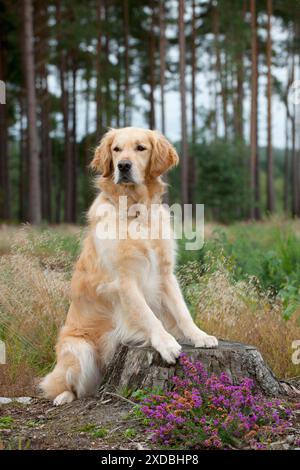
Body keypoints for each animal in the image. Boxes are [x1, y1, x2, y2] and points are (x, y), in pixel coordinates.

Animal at [40, 127, 218, 404]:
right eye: (116, 150)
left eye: (140, 148)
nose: (123, 166)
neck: (136, 211)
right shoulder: (123, 281)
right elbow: (147, 315)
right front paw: (166, 343)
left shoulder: (165, 275)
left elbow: (182, 311)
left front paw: (199, 335)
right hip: (79, 349)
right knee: (71, 386)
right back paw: (63, 397)